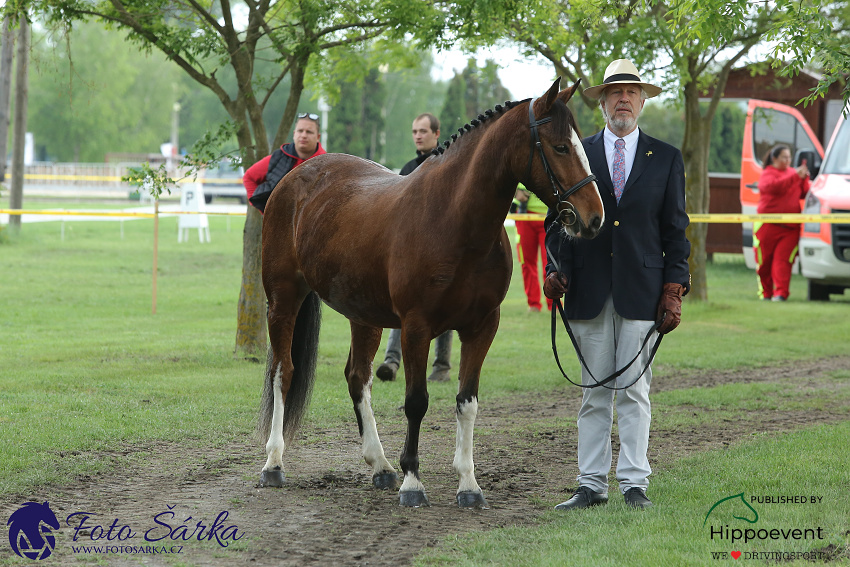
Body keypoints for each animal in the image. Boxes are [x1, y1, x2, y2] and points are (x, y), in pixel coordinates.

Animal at [258, 77, 604, 508]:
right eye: (559, 146)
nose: (594, 218)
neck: (455, 221)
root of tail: (296, 177)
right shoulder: (416, 328)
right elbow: (416, 402)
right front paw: (413, 483)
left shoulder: (481, 327)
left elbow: (467, 402)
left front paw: (468, 485)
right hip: (284, 300)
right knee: (283, 372)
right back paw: (274, 463)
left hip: (364, 314)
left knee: (358, 377)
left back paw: (380, 466)